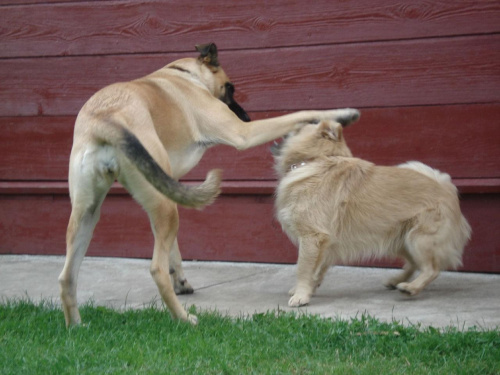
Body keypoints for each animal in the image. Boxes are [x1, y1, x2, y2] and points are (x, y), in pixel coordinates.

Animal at [59, 43, 360, 326]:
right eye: (230, 87)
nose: (246, 117)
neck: (184, 74)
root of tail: (105, 120)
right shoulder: (242, 134)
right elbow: (302, 113)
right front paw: (343, 113)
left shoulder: (168, 189)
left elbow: (174, 248)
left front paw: (181, 279)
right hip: (161, 208)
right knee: (156, 270)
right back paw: (183, 319)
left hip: (89, 215)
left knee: (66, 276)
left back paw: (76, 326)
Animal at [274, 122, 472, 306]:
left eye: (299, 127)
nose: (287, 126)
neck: (318, 159)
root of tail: (446, 188)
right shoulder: (325, 244)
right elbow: (318, 269)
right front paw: (309, 288)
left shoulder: (312, 237)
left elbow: (303, 269)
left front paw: (301, 295)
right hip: (402, 239)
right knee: (415, 264)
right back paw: (397, 281)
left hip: (418, 239)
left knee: (432, 269)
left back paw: (411, 288)